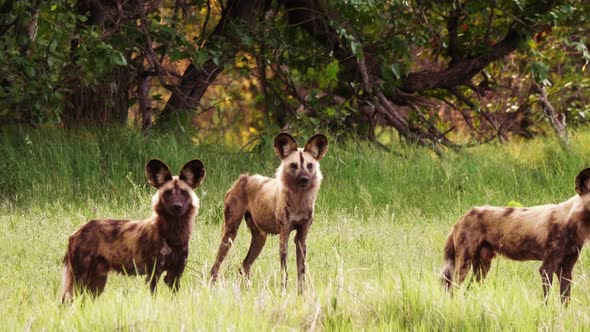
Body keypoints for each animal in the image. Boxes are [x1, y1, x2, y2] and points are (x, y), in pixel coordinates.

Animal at [61, 160, 206, 302]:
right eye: (168, 193)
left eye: (184, 192)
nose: (177, 206)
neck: (173, 234)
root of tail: (77, 231)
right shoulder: (153, 274)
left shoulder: (174, 276)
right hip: (80, 280)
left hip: (96, 283)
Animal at [209, 132, 330, 294]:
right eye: (294, 165)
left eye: (309, 165)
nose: (304, 179)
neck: (299, 200)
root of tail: (243, 177)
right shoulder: (284, 235)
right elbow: (284, 271)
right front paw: (283, 292)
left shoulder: (301, 238)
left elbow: (301, 272)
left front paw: (301, 294)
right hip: (230, 233)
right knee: (216, 266)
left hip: (260, 237)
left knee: (244, 266)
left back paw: (249, 291)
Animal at [442, 169, 590, 304]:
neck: (571, 221)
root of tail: (464, 215)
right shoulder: (547, 268)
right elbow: (546, 300)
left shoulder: (566, 270)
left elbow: (565, 300)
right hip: (463, 265)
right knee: (452, 288)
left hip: (483, 267)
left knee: (467, 291)